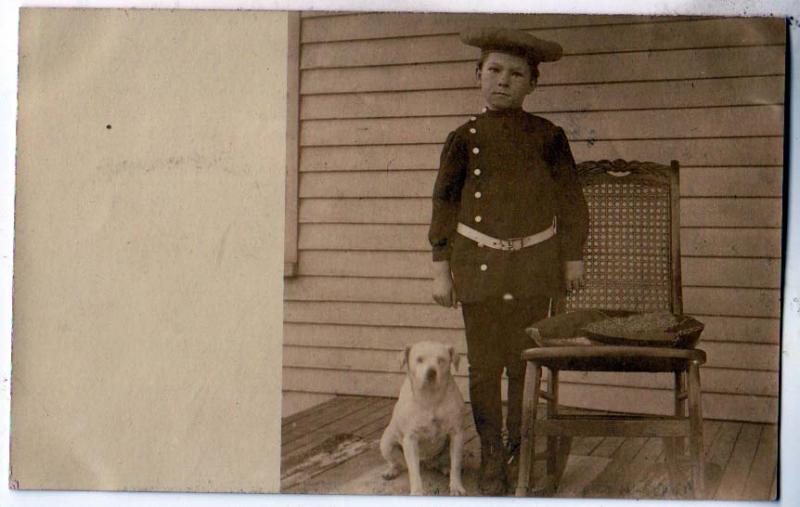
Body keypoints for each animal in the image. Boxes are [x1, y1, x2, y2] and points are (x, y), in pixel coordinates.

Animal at [378, 342, 466, 496]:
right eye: (419, 359)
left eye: (441, 360)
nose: (431, 372)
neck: (430, 396)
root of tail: (425, 462)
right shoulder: (410, 439)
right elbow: (414, 472)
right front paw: (417, 492)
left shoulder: (457, 434)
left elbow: (456, 464)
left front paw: (456, 486)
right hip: (386, 444)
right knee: (398, 463)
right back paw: (391, 471)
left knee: (442, 462)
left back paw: (444, 467)